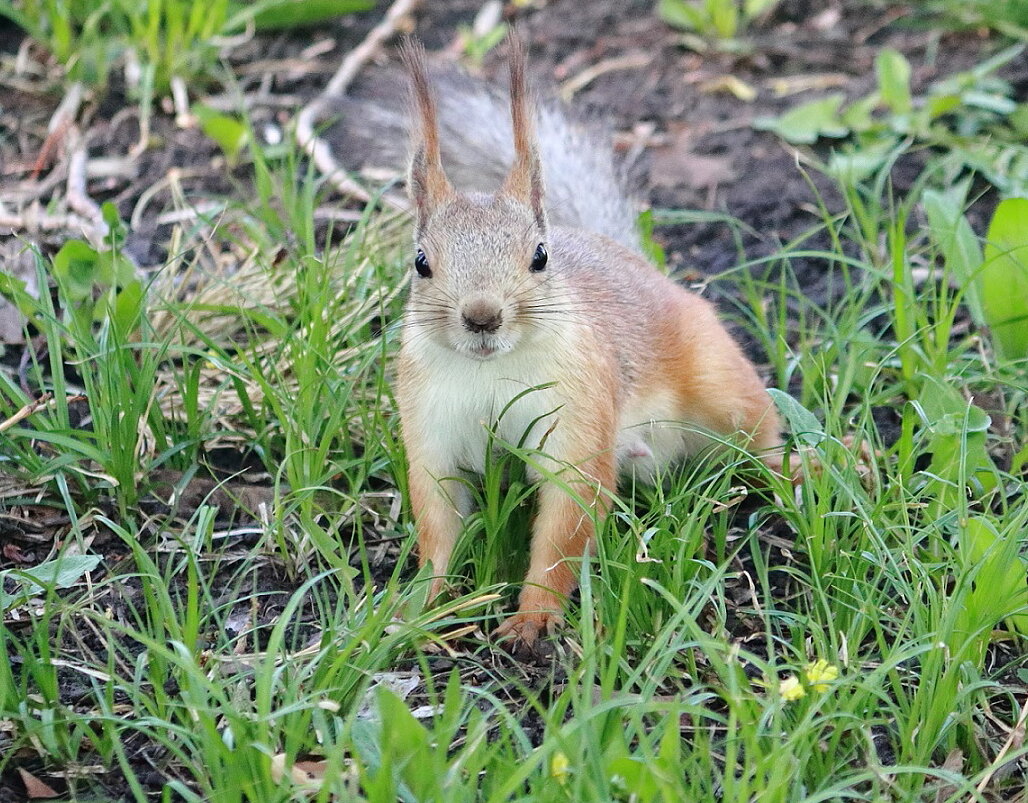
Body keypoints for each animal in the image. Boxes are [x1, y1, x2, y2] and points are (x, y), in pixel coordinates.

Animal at [374, 37, 781, 649]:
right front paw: (417, 607)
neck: (489, 372)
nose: (482, 317)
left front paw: (533, 617)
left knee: (765, 442)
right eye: (420, 263)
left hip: (721, 387)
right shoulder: (430, 426)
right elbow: (440, 524)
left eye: (540, 256)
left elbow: (563, 530)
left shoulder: (576, 418)